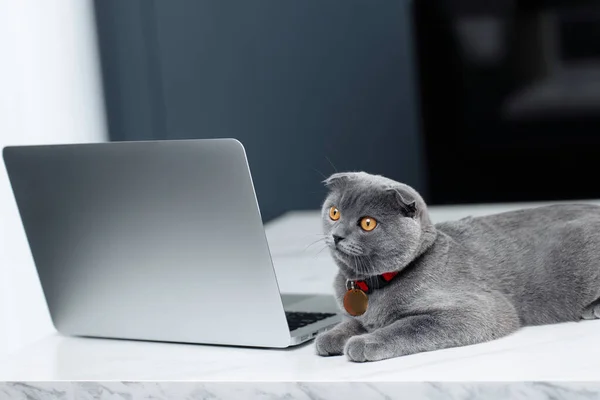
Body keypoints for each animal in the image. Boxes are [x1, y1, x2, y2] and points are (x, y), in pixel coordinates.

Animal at [314, 171, 600, 362]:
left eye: (367, 223)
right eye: (334, 212)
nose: (337, 236)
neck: (370, 284)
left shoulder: (479, 310)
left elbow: (406, 326)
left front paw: (364, 342)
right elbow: (352, 321)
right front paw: (330, 336)